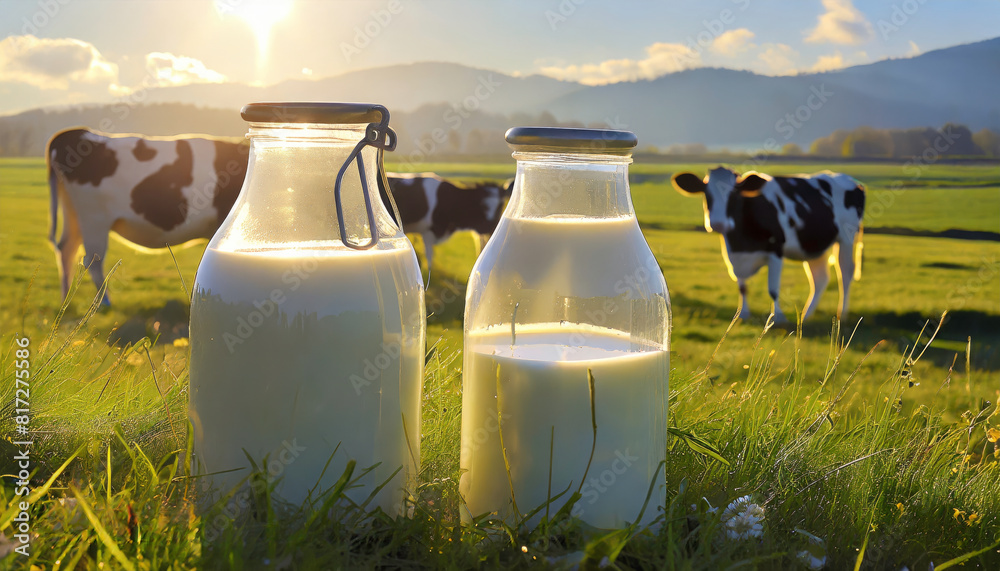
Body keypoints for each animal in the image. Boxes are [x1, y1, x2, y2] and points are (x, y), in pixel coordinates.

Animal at [48, 127, 248, 306]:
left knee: (67, 249)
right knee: (92, 259)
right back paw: (104, 302)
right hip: (93, 218)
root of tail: (75, 132)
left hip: (72, 213)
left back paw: (65, 301)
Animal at [668, 168, 864, 324]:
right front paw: (742, 314)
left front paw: (778, 317)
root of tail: (850, 179)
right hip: (813, 245)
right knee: (820, 278)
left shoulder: (776, 250)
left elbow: (773, 289)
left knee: (845, 274)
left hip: (847, 238)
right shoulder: (734, 255)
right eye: (706, 194)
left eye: (734, 194)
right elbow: (742, 287)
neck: (742, 243)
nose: (718, 223)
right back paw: (806, 316)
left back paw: (842, 314)